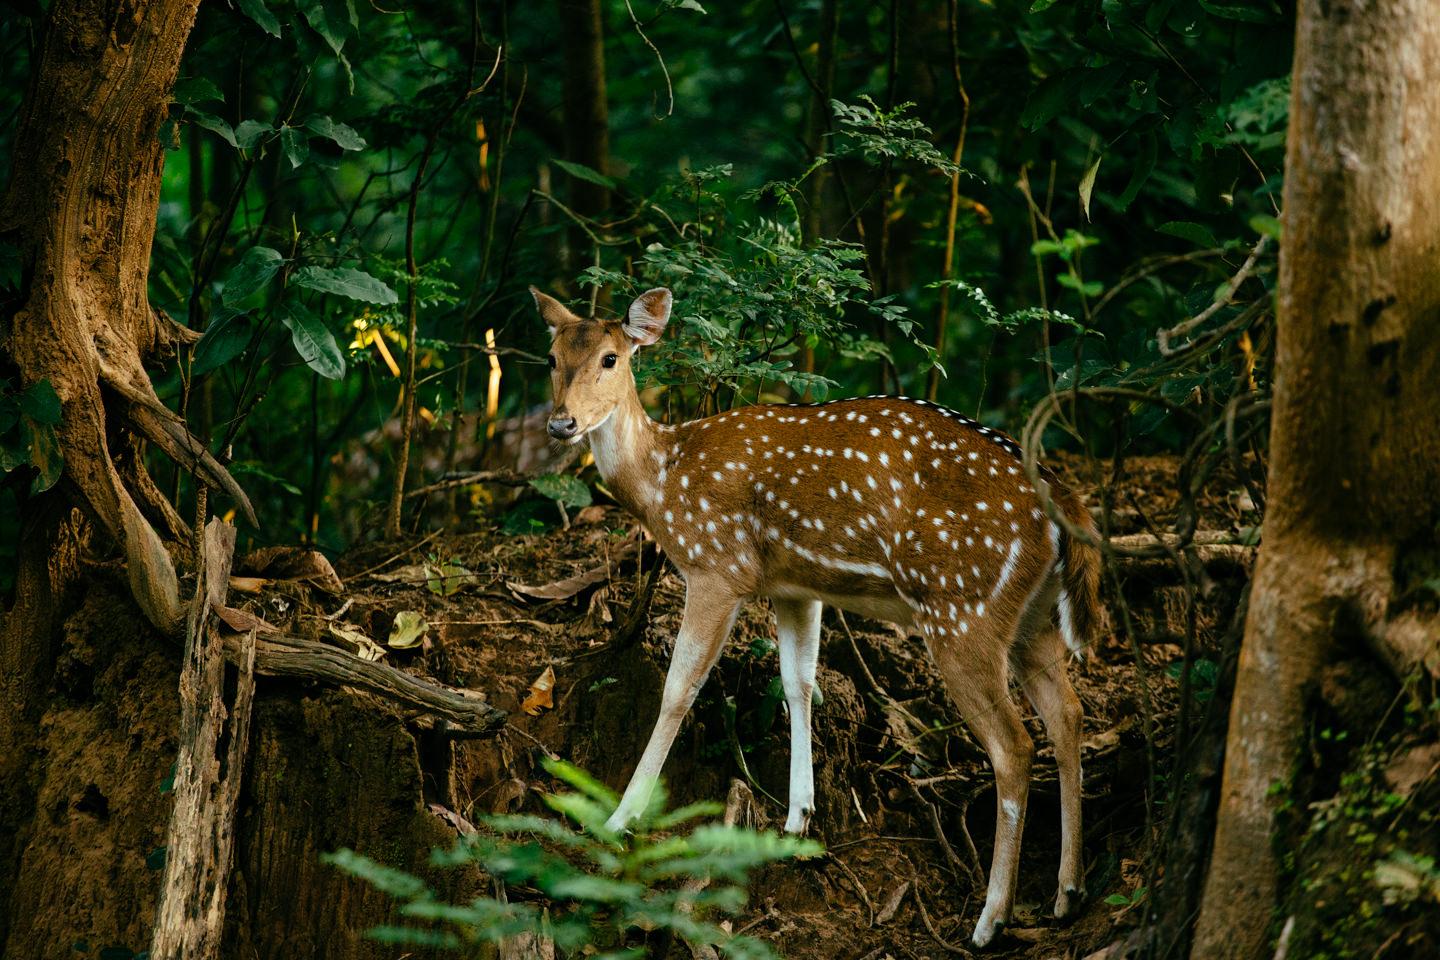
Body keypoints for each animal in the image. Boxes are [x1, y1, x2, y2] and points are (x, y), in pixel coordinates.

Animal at [535, 284, 1105, 944]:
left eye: (611, 358)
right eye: (552, 357)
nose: (561, 423)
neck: (664, 481)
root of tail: (1062, 504)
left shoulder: (718, 565)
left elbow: (679, 689)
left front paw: (619, 817)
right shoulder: (794, 587)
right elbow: (799, 683)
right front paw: (797, 819)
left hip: (962, 608)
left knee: (1014, 746)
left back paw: (991, 918)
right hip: (1033, 619)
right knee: (1068, 716)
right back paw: (1068, 891)